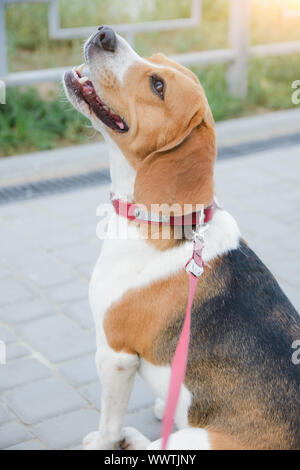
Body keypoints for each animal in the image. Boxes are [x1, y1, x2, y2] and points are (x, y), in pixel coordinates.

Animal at [63, 26, 300, 452]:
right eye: (154, 59)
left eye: (158, 86)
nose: (105, 34)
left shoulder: (115, 355)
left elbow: (108, 423)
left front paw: (103, 442)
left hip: (197, 441)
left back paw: (133, 439)